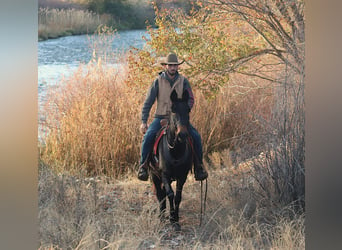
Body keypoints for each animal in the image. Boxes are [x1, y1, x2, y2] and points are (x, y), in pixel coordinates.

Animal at [150, 89, 192, 230]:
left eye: (188, 110)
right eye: (173, 110)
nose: (182, 135)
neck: (175, 152)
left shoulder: (182, 176)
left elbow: (178, 196)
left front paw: (176, 219)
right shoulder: (165, 175)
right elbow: (170, 195)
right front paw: (172, 218)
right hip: (154, 175)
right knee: (160, 195)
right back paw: (161, 217)